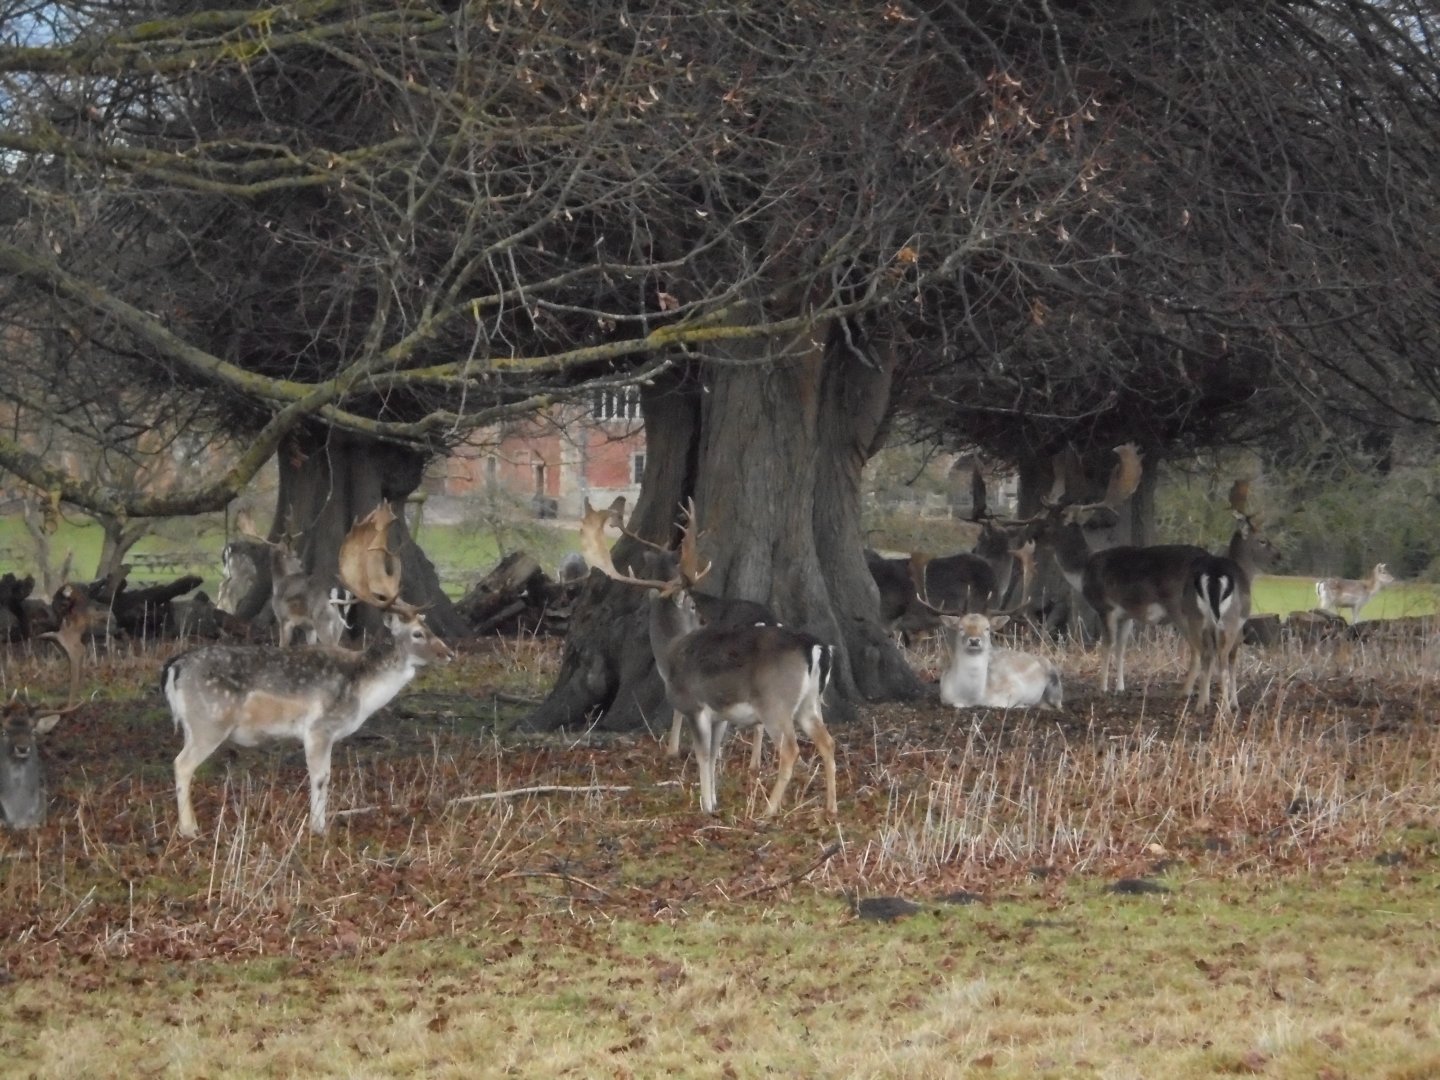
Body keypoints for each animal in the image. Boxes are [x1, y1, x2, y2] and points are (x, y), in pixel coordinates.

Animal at [162, 517, 454, 838]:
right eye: (418, 634)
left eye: (428, 628)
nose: (449, 653)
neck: (362, 690)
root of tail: (175, 667)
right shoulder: (319, 728)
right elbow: (321, 777)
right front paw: (318, 828)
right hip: (210, 721)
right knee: (181, 764)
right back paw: (189, 829)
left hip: (192, 725)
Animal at [579, 497, 837, 818]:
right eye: (693, 606)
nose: (703, 619)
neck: (670, 652)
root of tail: (815, 647)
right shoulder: (720, 714)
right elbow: (714, 754)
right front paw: (713, 799)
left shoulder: (694, 704)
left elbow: (702, 754)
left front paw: (705, 806)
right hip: (808, 703)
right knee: (827, 743)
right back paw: (831, 807)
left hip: (775, 701)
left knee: (790, 750)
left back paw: (768, 811)